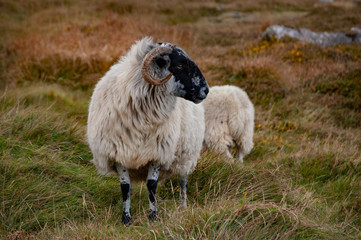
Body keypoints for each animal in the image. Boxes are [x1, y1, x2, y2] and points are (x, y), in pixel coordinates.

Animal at [86, 37, 208, 225]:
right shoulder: (119, 153)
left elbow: (152, 185)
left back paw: (183, 207)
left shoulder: (157, 153)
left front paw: (153, 216)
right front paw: (126, 218)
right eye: (180, 65)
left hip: (186, 156)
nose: (205, 90)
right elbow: (125, 187)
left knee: (183, 182)